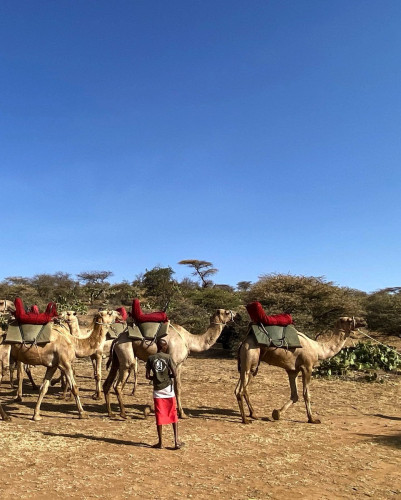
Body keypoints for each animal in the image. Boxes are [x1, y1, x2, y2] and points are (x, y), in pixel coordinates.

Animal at [103, 308, 239, 418]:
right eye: (227, 312)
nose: (238, 315)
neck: (189, 340)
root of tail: (117, 339)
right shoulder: (176, 363)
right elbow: (178, 388)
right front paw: (182, 414)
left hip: (116, 358)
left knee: (108, 383)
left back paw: (110, 412)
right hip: (126, 352)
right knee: (119, 383)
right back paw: (123, 413)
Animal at [234, 314, 366, 424]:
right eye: (349, 320)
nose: (364, 321)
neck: (318, 349)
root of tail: (244, 342)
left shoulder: (293, 370)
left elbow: (295, 395)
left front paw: (277, 413)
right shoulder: (307, 367)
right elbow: (306, 394)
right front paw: (312, 419)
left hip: (247, 362)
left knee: (238, 389)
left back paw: (253, 414)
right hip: (251, 356)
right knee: (241, 389)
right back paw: (246, 420)